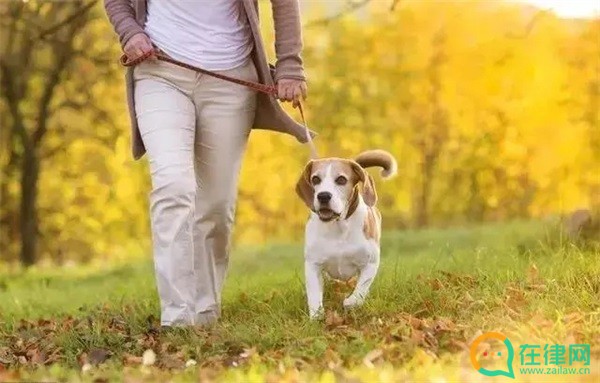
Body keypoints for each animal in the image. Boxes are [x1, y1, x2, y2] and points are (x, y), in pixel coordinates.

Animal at [296, 149, 398, 318]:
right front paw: (316, 316)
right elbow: (314, 294)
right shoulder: (313, 264)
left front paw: (351, 302)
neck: (338, 226)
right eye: (315, 179)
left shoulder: (370, 263)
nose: (323, 196)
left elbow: (361, 289)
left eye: (341, 180)